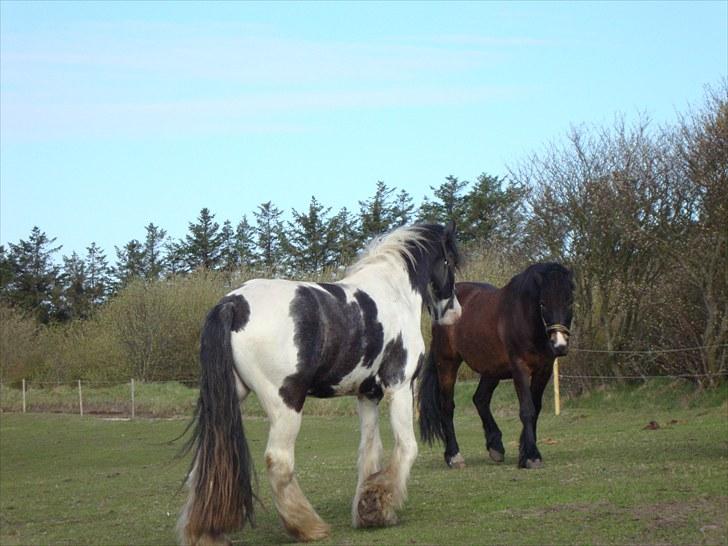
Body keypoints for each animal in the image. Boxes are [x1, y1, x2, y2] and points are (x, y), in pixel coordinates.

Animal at [178, 222, 460, 544]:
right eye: (450, 262)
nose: (455, 312)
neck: (393, 292)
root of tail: (233, 304)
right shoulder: (399, 387)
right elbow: (406, 448)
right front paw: (380, 506)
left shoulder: (368, 395)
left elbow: (370, 452)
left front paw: (367, 509)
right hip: (286, 404)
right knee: (279, 462)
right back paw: (308, 527)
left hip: (225, 401)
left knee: (205, 464)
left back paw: (203, 533)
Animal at [418, 262, 572, 466]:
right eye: (542, 303)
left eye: (569, 302)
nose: (559, 345)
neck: (523, 317)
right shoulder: (519, 369)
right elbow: (527, 409)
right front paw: (531, 455)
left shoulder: (544, 370)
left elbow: (536, 408)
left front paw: (525, 451)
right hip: (447, 363)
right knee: (447, 406)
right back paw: (453, 455)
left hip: (491, 369)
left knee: (480, 399)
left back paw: (495, 446)